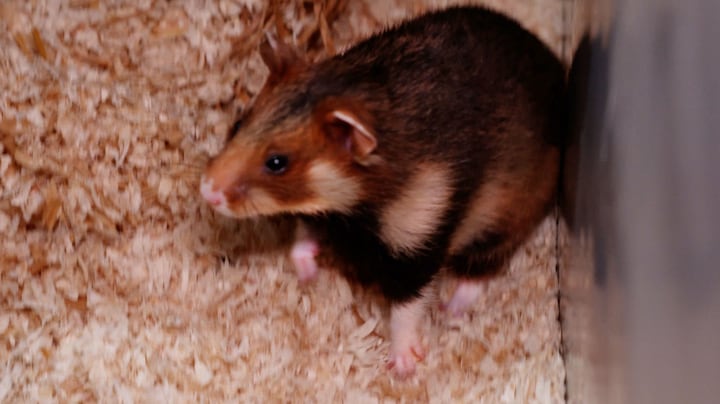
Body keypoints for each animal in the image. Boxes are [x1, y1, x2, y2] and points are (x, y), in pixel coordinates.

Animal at [201, 6, 565, 377]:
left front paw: (403, 366)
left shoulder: (419, 245)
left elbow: (406, 306)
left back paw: (450, 310)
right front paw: (309, 278)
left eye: (277, 162)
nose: (206, 190)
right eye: (238, 123)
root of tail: (555, 64)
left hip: (503, 221)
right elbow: (301, 241)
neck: (353, 203)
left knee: (481, 270)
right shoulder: (324, 215)